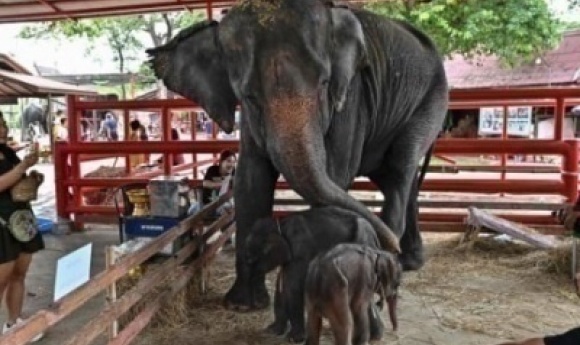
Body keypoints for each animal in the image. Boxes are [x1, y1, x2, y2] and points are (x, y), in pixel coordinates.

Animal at [146, 0, 448, 310]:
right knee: (399, 180)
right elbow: (250, 181)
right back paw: (406, 261)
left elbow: (334, 175)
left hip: (431, 102)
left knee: (400, 169)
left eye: (325, 84)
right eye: (249, 97)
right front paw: (243, 305)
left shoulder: (352, 96)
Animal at [242, 206, 402, 342]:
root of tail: (375, 235)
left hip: (362, 240)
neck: (280, 224)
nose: (252, 305)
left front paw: (294, 339)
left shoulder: (300, 252)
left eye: (251, 259)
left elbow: (292, 288)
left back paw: (374, 337)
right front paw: (272, 331)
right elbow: (281, 286)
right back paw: (376, 336)